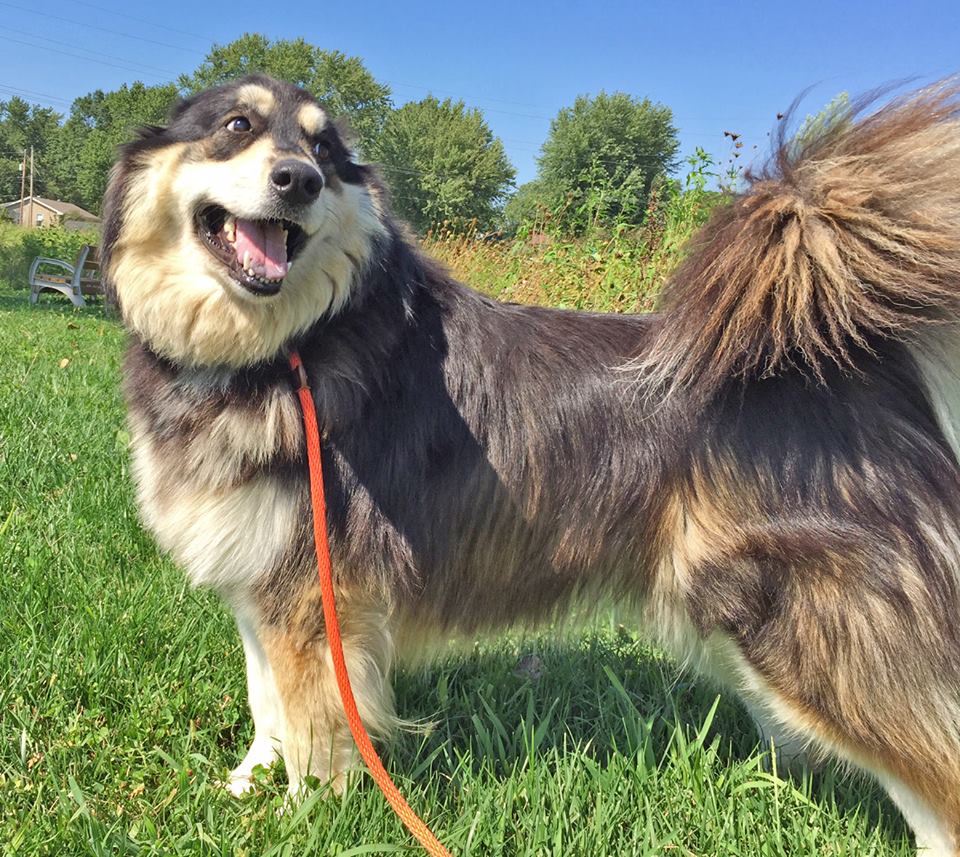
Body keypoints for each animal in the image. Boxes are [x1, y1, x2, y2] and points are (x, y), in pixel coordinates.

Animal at [99, 75, 960, 856]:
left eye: (324, 150)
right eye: (236, 125)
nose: (298, 181)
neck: (285, 348)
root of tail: (856, 356)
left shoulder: (318, 596)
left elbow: (314, 728)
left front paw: (304, 819)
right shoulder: (262, 584)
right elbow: (267, 705)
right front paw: (247, 784)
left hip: (819, 635)